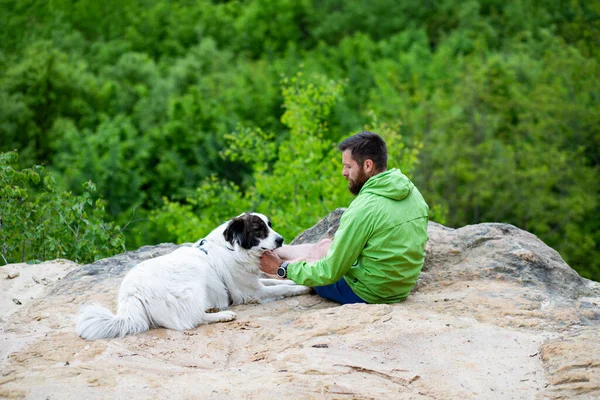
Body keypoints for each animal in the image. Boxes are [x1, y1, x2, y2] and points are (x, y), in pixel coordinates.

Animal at [75, 212, 310, 340]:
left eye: (269, 225)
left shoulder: (254, 281)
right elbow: (282, 288)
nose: (281, 240)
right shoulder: (252, 292)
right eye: (258, 229)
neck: (233, 249)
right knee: (191, 320)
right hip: (193, 284)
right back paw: (223, 315)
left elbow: (277, 280)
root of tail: (131, 295)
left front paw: (295, 279)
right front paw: (304, 287)